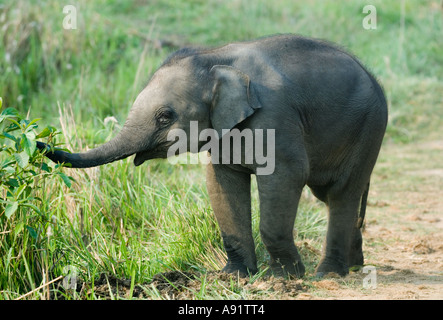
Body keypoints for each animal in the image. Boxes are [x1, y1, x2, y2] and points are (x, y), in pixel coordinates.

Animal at [40, 33, 390, 278]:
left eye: (165, 116)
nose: (42, 141)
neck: (213, 57)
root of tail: (373, 76)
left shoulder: (275, 117)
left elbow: (286, 175)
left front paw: (285, 277)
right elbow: (221, 181)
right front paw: (234, 276)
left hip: (369, 126)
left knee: (341, 192)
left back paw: (327, 274)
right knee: (331, 195)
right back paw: (354, 266)